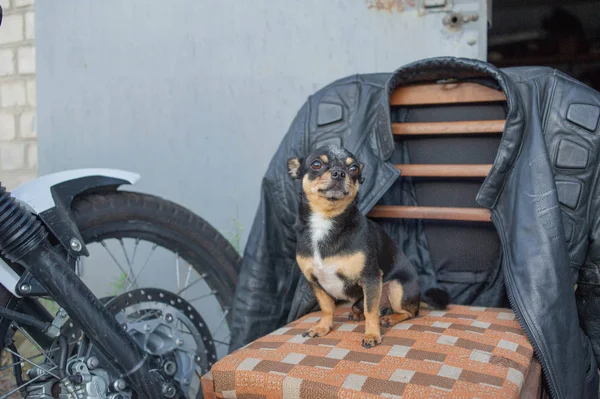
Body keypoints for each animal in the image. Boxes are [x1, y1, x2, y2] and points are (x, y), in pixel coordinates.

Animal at [288, 145, 448, 348]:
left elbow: (370, 310)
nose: (339, 173)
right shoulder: (314, 282)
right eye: (316, 164)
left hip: (397, 288)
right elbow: (327, 307)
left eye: (354, 168)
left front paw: (372, 335)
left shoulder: (371, 277)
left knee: (409, 312)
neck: (326, 221)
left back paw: (390, 318)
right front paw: (323, 327)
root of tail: (418, 296)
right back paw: (358, 314)